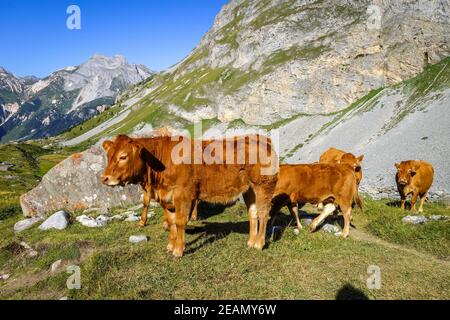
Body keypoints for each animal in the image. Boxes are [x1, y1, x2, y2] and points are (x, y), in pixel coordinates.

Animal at [102, 134, 278, 256]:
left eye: (123, 156)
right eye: (108, 156)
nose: (104, 178)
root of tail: (262, 138)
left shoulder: (182, 194)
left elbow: (180, 222)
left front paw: (179, 250)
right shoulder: (166, 198)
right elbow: (171, 222)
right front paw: (171, 245)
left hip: (263, 185)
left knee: (263, 213)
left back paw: (259, 243)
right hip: (249, 189)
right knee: (253, 213)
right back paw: (251, 241)